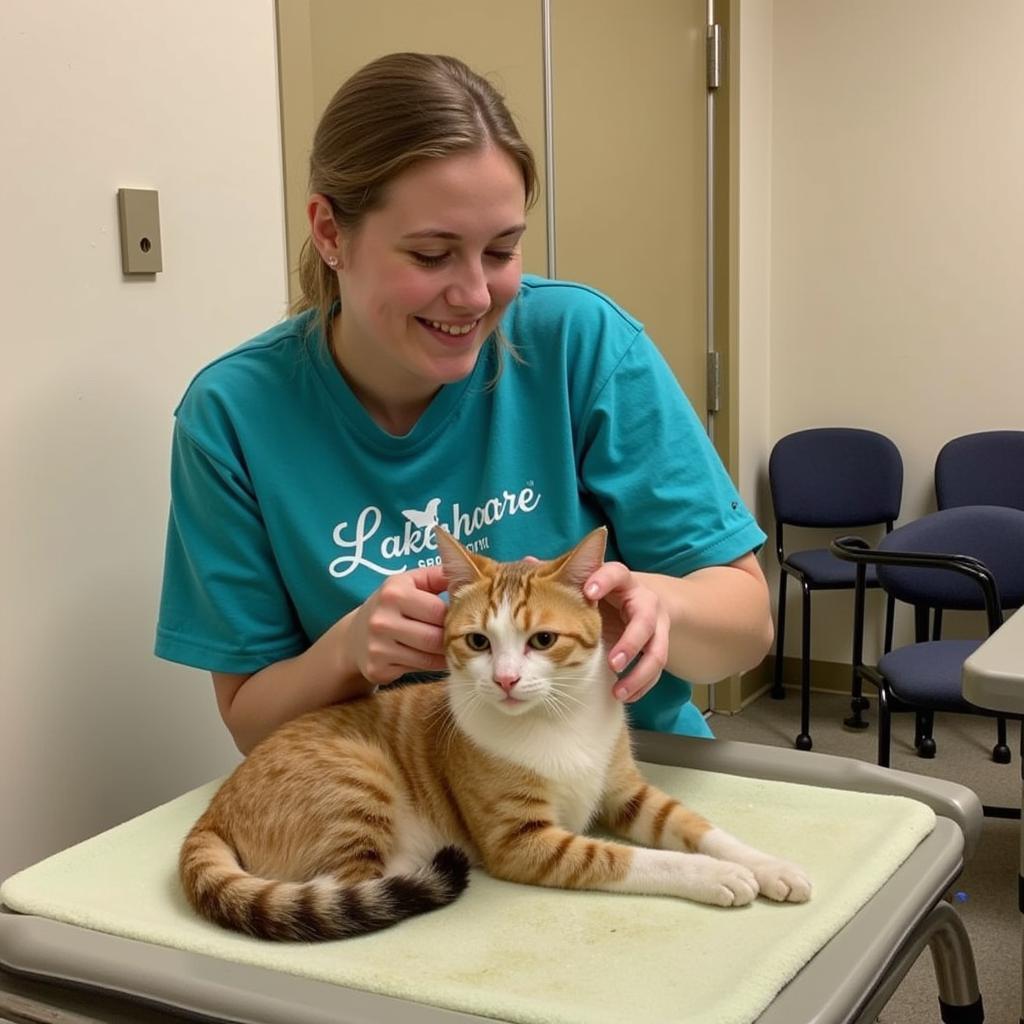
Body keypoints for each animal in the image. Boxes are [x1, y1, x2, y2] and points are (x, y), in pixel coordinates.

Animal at [180, 532, 811, 937]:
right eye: (478, 642)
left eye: (543, 641)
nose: (506, 679)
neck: (556, 721)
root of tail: (214, 809)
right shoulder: (523, 842)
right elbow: (632, 859)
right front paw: (717, 876)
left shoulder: (627, 792)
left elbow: (698, 827)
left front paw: (768, 866)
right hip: (357, 779)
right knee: (348, 885)